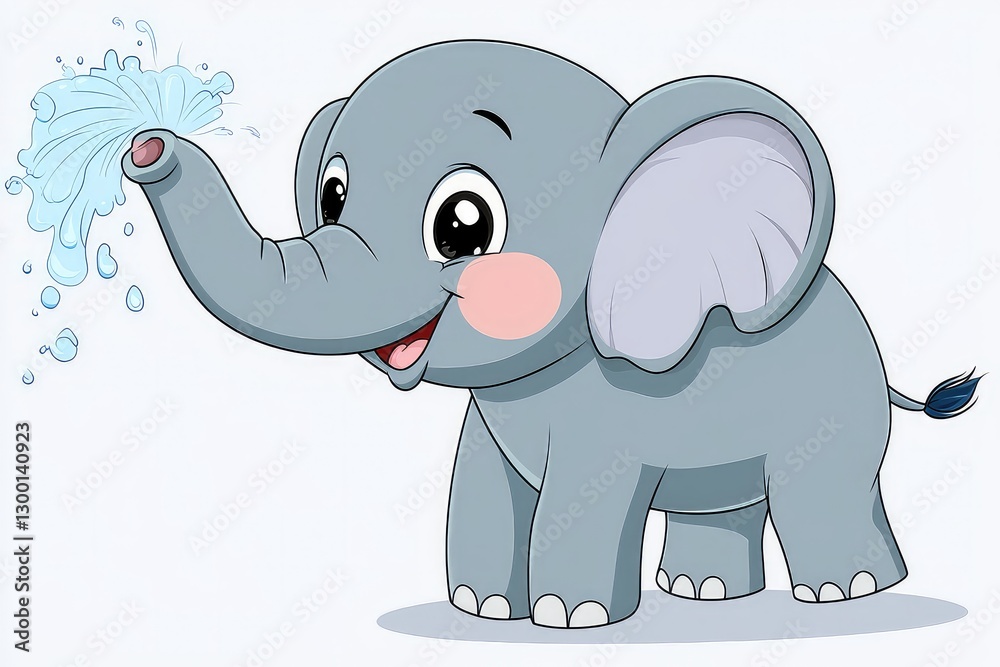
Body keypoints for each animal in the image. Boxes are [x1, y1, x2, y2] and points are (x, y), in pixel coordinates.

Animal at [122, 40, 981, 628]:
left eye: (463, 225)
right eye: (330, 195)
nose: (146, 145)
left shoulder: (609, 416)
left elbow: (585, 493)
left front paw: (572, 618)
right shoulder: (492, 418)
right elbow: (484, 487)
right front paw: (480, 608)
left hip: (834, 409)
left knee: (824, 486)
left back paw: (845, 593)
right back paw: (703, 593)